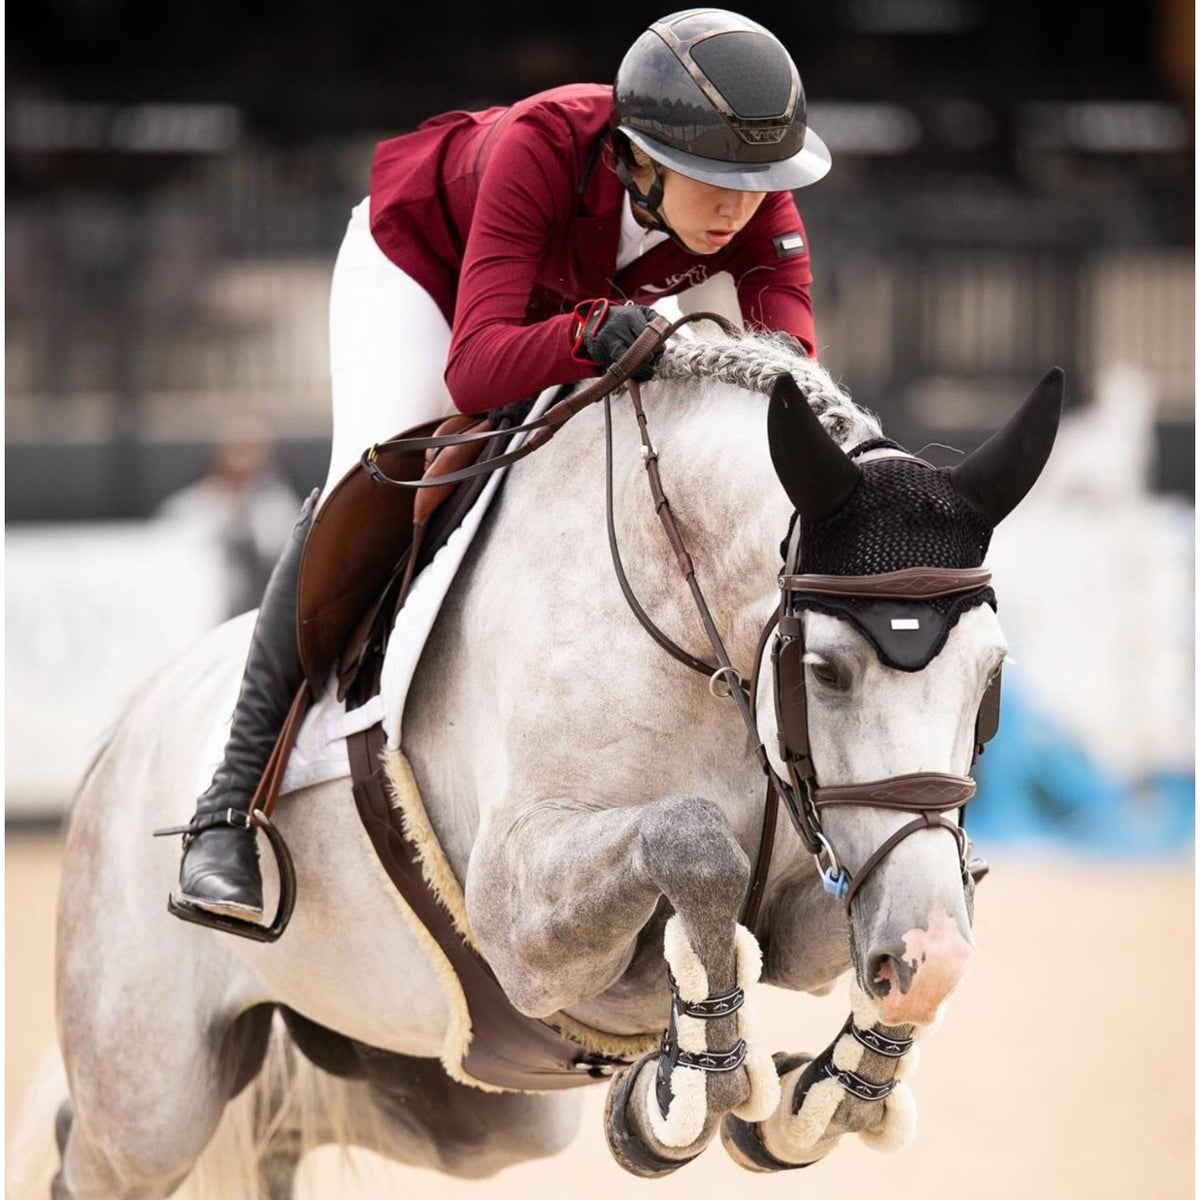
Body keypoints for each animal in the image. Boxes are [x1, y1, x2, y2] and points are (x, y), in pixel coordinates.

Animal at [13, 326, 1061, 1198]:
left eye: (992, 675)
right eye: (825, 670)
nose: (918, 954)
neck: (693, 640)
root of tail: (123, 733)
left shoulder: (844, 872)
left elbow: (928, 885)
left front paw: (836, 1084)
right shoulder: (521, 920)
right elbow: (692, 846)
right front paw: (695, 1081)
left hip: (457, 1098)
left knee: (293, 1122)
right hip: (148, 1097)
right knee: (104, 1155)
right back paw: (219, 866)